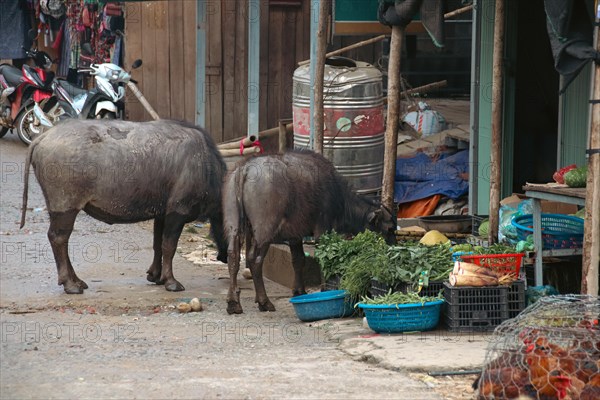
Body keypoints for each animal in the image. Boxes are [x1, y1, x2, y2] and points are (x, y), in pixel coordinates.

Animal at [20, 119, 227, 294]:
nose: (225, 257)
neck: (206, 167)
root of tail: (44, 136)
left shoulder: (161, 214)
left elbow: (157, 245)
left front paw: (155, 275)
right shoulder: (177, 212)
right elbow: (169, 246)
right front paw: (170, 281)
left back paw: (77, 281)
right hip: (65, 207)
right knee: (58, 238)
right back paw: (70, 284)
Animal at [223, 150, 396, 316]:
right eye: (389, 228)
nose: (391, 250)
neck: (338, 197)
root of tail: (244, 168)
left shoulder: (295, 236)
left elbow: (298, 260)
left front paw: (299, 291)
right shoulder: (323, 230)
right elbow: (323, 258)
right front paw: (324, 288)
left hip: (233, 225)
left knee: (233, 256)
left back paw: (233, 303)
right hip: (264, 230)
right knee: (255, 259)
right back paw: (264, 302)